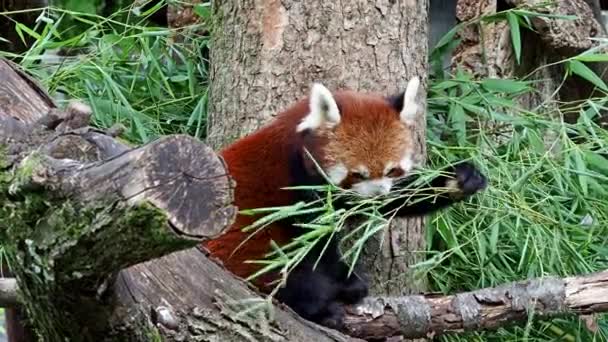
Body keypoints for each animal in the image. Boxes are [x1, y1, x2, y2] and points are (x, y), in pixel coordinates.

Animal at [202, 77, 486, 328]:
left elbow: (393, 202)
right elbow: (318, 244)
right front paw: (347, 280)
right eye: (357, 173)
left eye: (391, 170)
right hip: (250, 250)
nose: (377, 194)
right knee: (291, 276)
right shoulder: (297, 184)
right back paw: (325, 308)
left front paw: (457, 181)